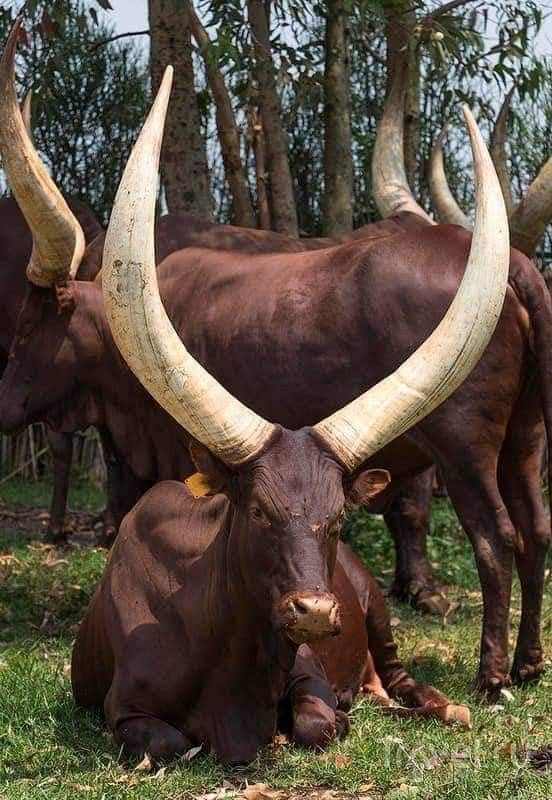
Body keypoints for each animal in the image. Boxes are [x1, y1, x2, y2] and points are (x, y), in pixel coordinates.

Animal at [71, 73, 506, 764]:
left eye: (338, 518)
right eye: (256, 512)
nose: (315, 612)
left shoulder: (309, 676)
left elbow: (317, 722)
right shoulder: (123, 710)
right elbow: (171, 742)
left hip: (377, 607)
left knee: (402, 677)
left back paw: (449, 704)